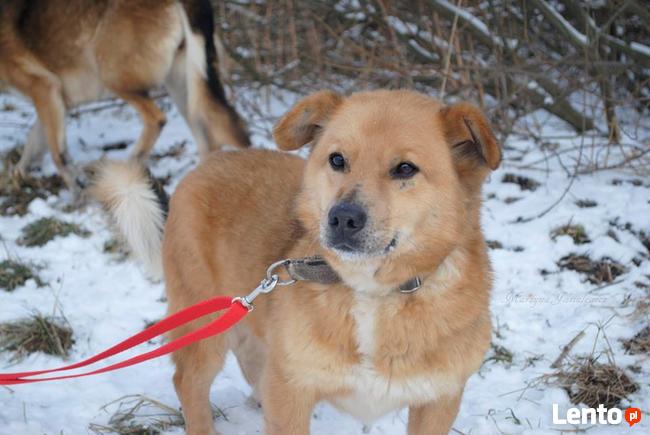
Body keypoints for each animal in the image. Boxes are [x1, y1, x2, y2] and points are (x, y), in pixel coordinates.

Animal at [0, 0, 249, 192]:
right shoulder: (57, 102)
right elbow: (33, 144)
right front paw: (16, 177)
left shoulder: (44, 89)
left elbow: (58, 155)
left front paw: (76, 189)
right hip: (184, 89)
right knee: (209, 139)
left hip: (115, 78)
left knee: (157, 119)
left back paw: (130, 164)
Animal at [93, 89, 502, 435]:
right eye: (337, 159)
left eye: (405, 169)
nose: (343, 218)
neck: (371, 293)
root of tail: (212, 160)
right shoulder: (291, 392)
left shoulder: (438, 402)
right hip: (204, 322)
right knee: (189, 383)